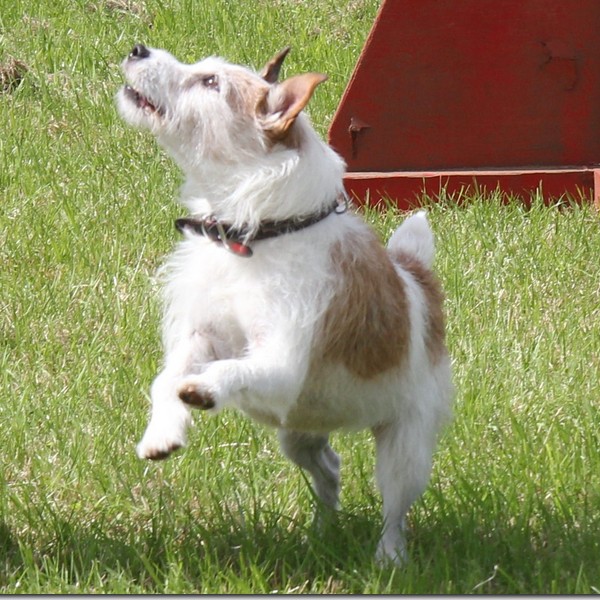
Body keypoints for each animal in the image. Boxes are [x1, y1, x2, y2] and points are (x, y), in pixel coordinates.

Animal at [117, 44, 452, 564]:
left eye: (210, 83)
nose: (138, 49)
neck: (259, 237)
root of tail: (418, 282)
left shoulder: (279, 363)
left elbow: (230, 369)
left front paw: (203, 389)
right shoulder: (200, 335)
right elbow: (166, 379)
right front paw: (162, 431)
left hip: (405, 447)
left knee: (395, 508)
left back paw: (389, 557)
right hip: (298, 434)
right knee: (329, 468)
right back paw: (322, 531)